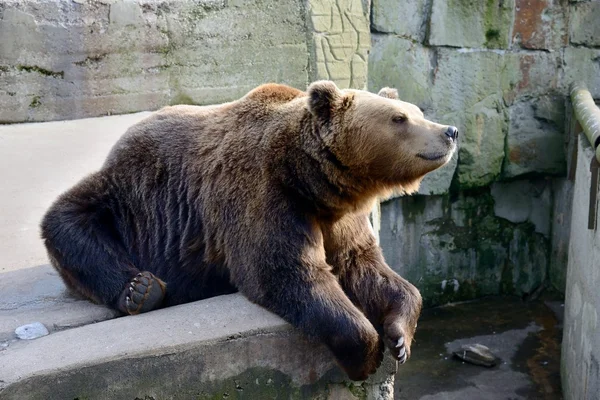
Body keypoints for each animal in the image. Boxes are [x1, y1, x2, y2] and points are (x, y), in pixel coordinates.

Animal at [39, 81, 458, 382]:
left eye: (417, 111)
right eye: (399, 118)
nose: (450, 130)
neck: (315, 181)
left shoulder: (342, 218)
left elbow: (367, 268)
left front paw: (400, 336)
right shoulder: (265, 194)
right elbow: (285, 270)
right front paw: (366, 354)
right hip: (133, 197)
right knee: (70, 218)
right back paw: (140, 290)